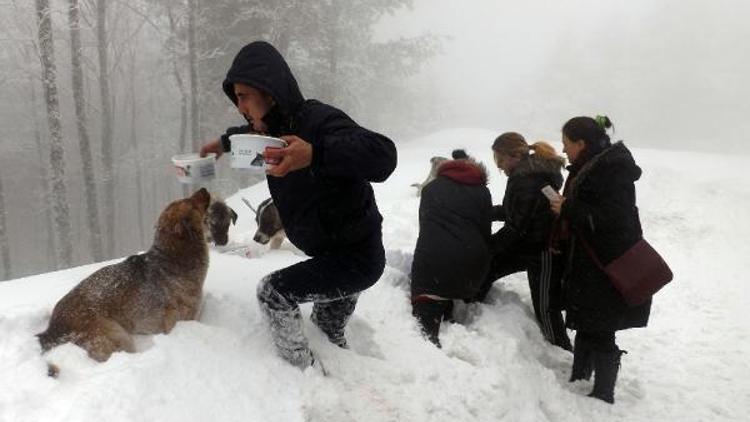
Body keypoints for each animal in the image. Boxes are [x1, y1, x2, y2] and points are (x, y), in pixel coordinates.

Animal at [35, 188, 234, 362]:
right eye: (189, 201)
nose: (203, 189)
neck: (172, 257)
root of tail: (53, 327)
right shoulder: (181, 320)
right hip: (117, 335)